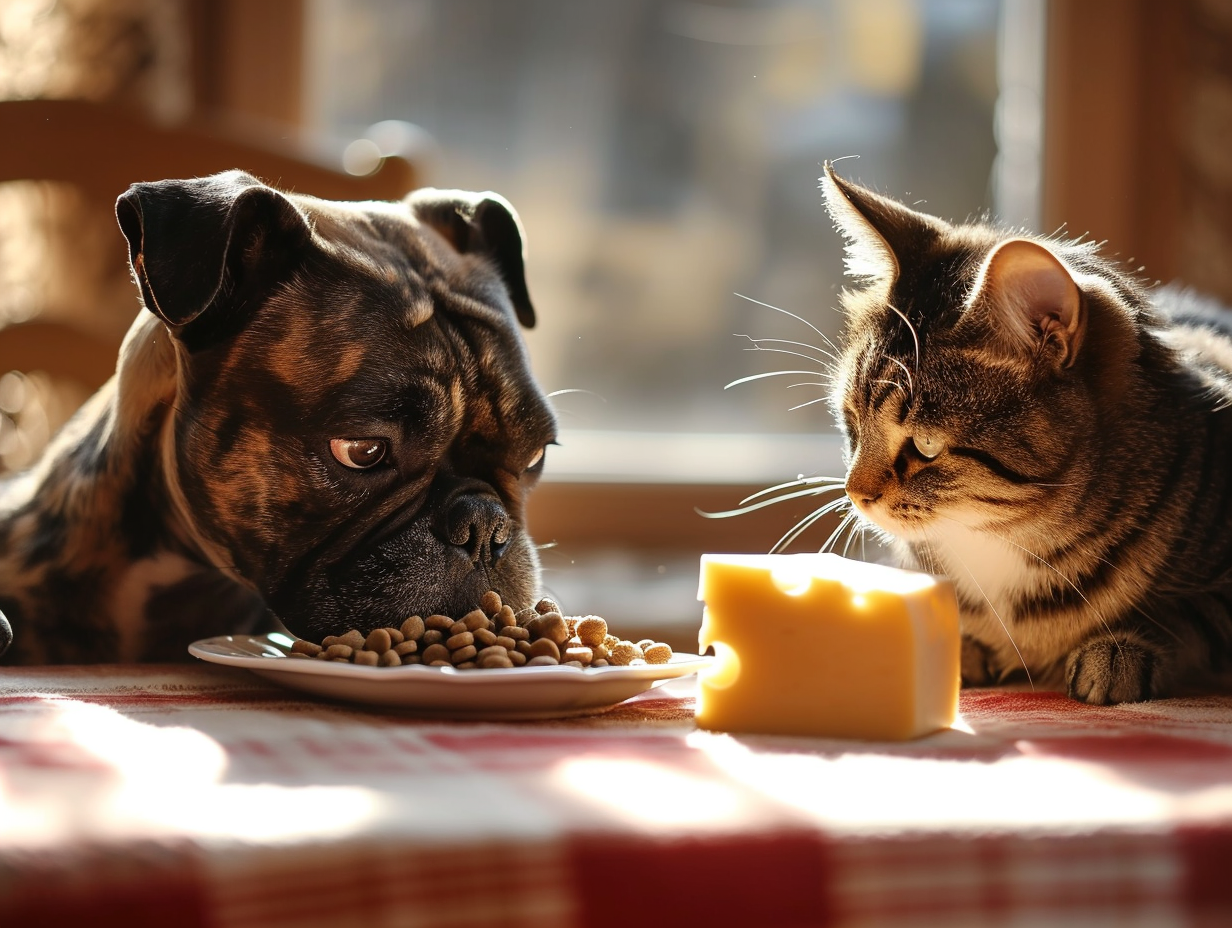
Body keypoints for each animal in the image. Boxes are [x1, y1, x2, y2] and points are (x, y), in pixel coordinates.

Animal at [822, 162, 1232, 704]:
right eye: (852, 422)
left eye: (926, 445)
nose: (855, 494)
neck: (1000, 537)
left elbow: (1186, 613)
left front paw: (1118, 651)